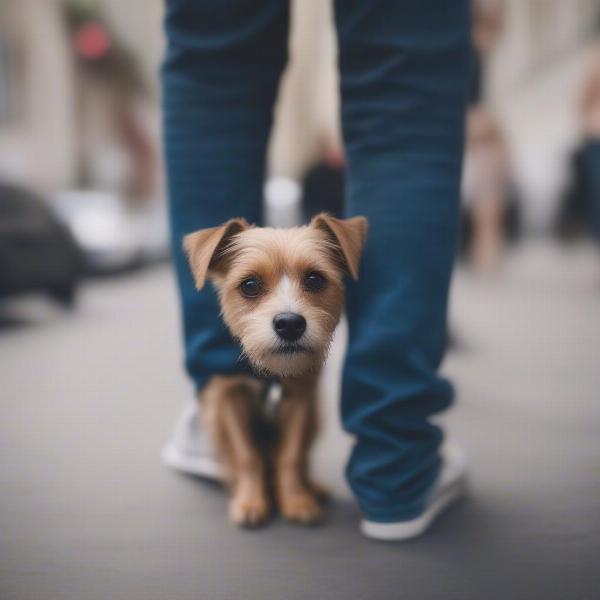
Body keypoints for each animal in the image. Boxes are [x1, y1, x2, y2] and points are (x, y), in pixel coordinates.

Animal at [183, 213, 366, 528]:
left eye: (315, 279)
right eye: (249, 285)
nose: (290, 324)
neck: (270, 375)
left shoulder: (301, 399)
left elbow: (290, 456)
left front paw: (295, 499)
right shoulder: (229, 397)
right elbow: (247, 456)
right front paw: (250, 501)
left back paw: (311, 486)